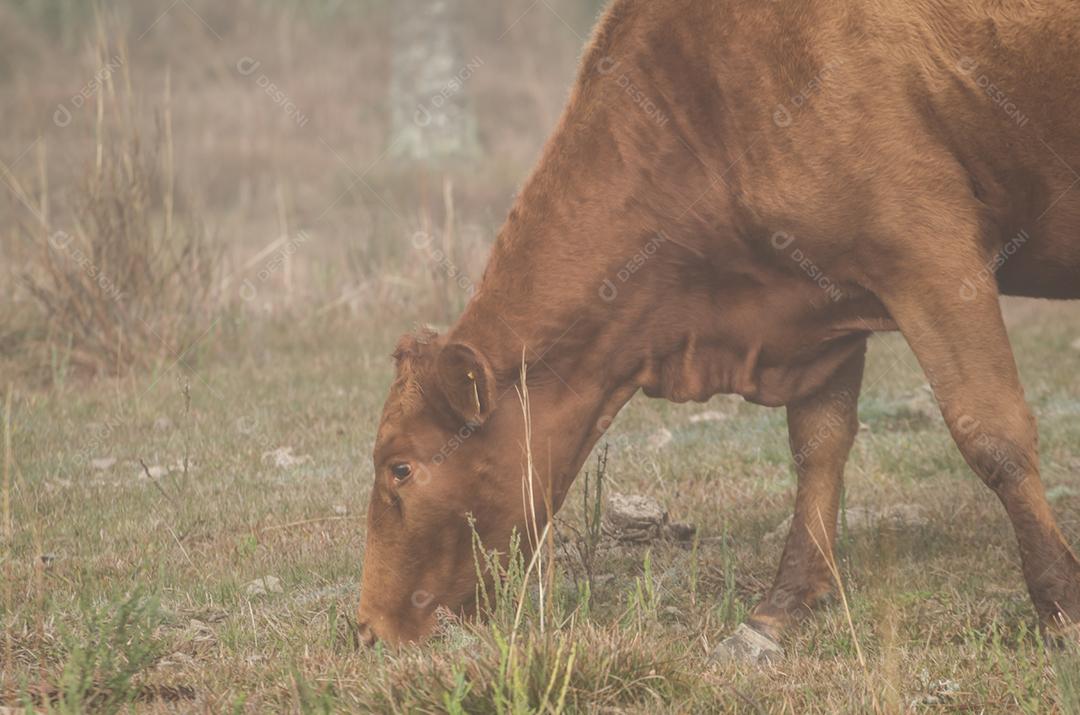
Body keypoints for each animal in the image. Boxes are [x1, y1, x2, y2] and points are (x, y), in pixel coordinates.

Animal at [358, 0, 1080, 660]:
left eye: (400, 467)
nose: (367, 627)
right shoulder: (823, 297)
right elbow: (818, 448)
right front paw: (777, 611)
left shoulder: (931, 252)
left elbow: (993, 435)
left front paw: (1061, 607)